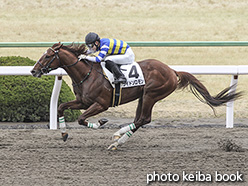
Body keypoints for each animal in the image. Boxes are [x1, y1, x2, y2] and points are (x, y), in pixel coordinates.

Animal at [31, 42, 242, 150]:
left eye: (48, 56)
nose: (33, 71)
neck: (86, 74)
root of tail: (172, 70)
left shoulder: (101, 104)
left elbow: (82, 119)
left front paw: (101, 123)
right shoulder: (82, 101)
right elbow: (60, 107)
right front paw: (64, 133)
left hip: (151, 94)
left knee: (143, 119)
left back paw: (118, 140)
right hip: (143, 96)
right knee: (139, 119)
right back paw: (118, 137)